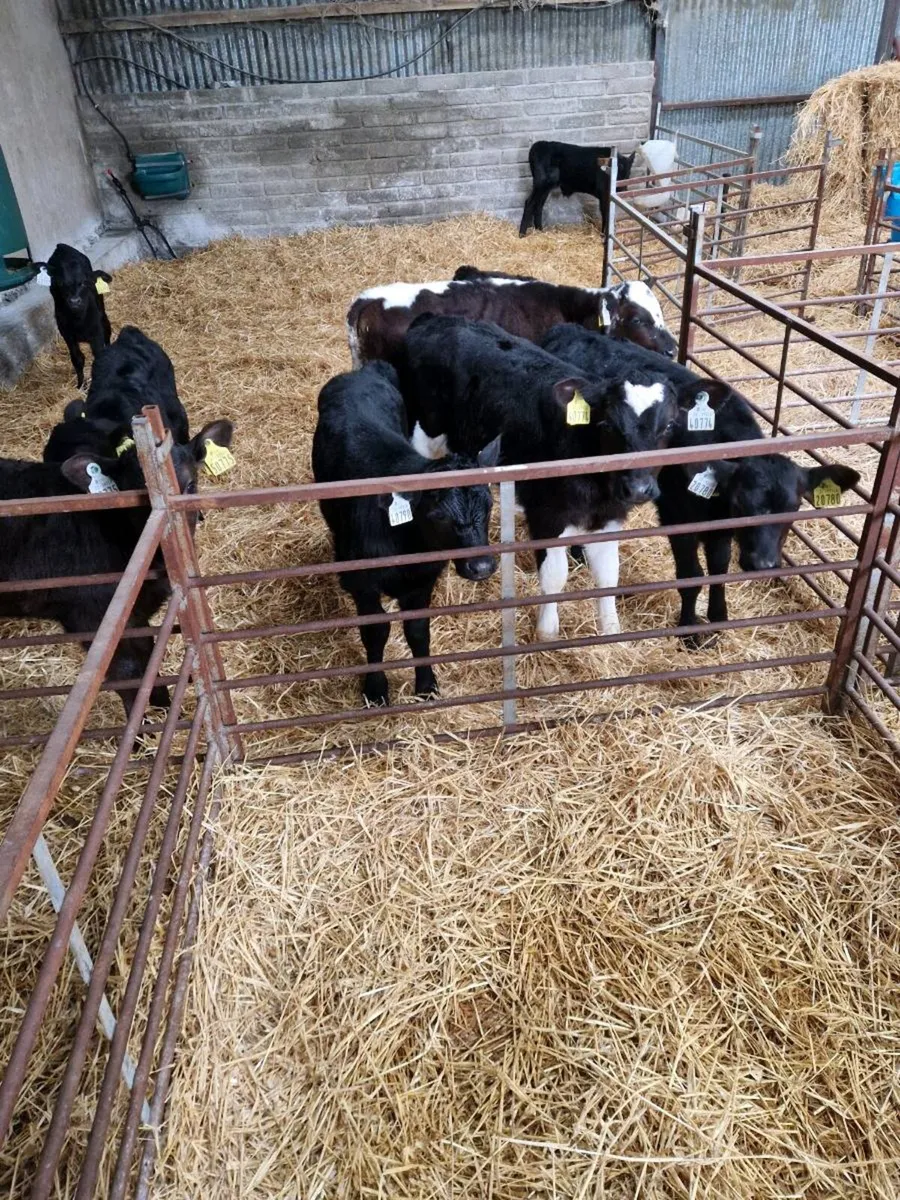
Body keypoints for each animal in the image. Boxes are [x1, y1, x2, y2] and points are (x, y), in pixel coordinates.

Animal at [0, 419, 233, 716]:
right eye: (129, 493)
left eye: (191, 485)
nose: (162, 547)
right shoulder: (90, 616)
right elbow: (127, 674)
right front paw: (142, 726)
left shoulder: (135, 614)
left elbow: (148, 658)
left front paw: (165, 709)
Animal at [34, 243, 112, 388]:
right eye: (60, 283)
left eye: (84, 282)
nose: (74, 301)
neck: (78, 320)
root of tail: (61, 246)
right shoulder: (67, 335)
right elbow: (77, 358)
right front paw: (81, 385)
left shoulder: (96, 333)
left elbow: (99, 356)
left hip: (103, 315)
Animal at [312, 360, 500, 707]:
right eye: (438, 515)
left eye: (489, 503)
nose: (481, 566)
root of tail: (363, 372)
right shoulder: (363, 584)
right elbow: (375, 632)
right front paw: (375, 689)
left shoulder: (422, 581)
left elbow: (417, 630)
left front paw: (426, 684)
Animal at [399, 314, 682, 642]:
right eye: (608, 424)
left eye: (669, 425)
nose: (638, 488)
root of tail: (433, 318)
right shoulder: (548, 515)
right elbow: (554, 577)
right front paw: (547, 632)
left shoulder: (609, 518)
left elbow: (608, 574)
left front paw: (611, 630)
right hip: (424, 433)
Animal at [542, 324, 861, 642]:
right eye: (741, 503)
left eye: (794, 507)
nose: (762, 565)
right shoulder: (678, 517)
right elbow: (691, 575)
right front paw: (689, 630)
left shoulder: (719, 530)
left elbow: (719, 569)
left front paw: (719, 617)